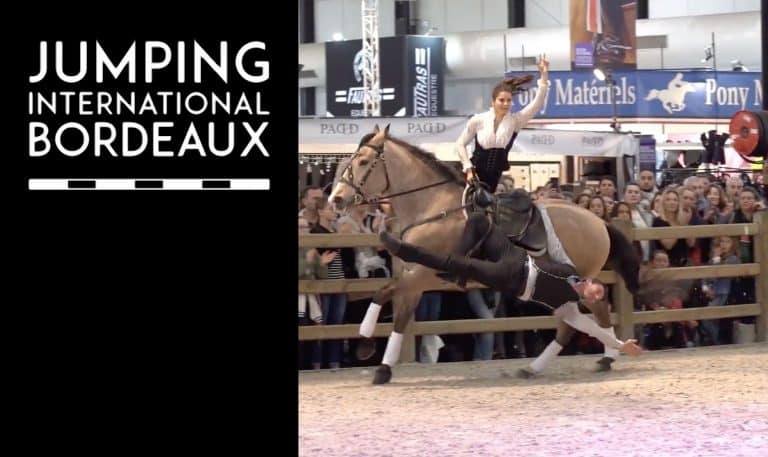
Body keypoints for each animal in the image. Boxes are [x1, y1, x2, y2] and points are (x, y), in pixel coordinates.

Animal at [329, 125, 640, 384]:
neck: (435, 207)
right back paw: (558, 364)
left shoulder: (424, 274)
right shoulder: (413, 278)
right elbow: (402, 317)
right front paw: (384, 368)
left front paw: (366, 334)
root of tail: (598, 220)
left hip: (574, 281)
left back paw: (603, 356)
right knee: (584, 316)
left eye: (363, 162)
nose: (336, 199)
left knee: (587, 313)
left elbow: (384, 292)